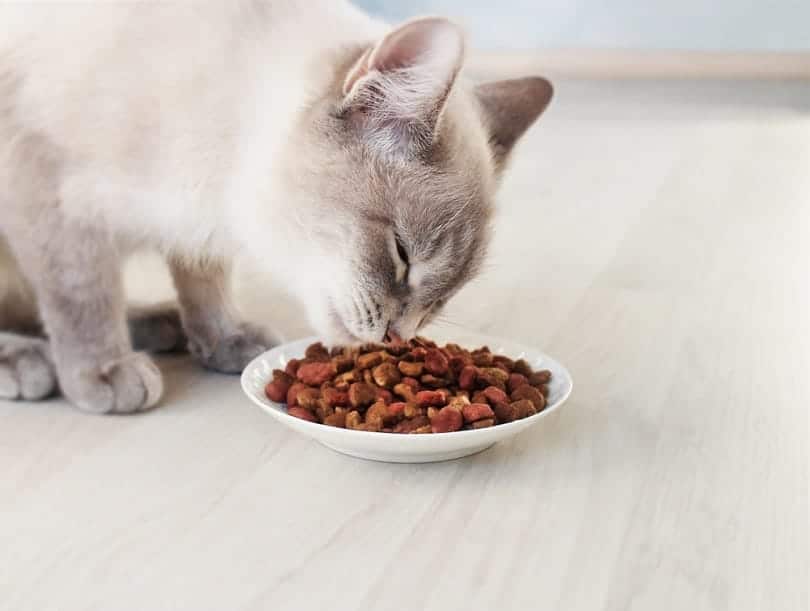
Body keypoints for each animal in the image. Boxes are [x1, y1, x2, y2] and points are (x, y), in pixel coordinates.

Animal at [0, 1, 548, 416]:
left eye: (445, 297)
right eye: (401, 255)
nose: (398, 337)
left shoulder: (199, 225)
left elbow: (204, 281)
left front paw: (224, 338)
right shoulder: (48, 191)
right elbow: (82, 297)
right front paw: (103, 369)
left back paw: (160, 324)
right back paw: (29, 361)